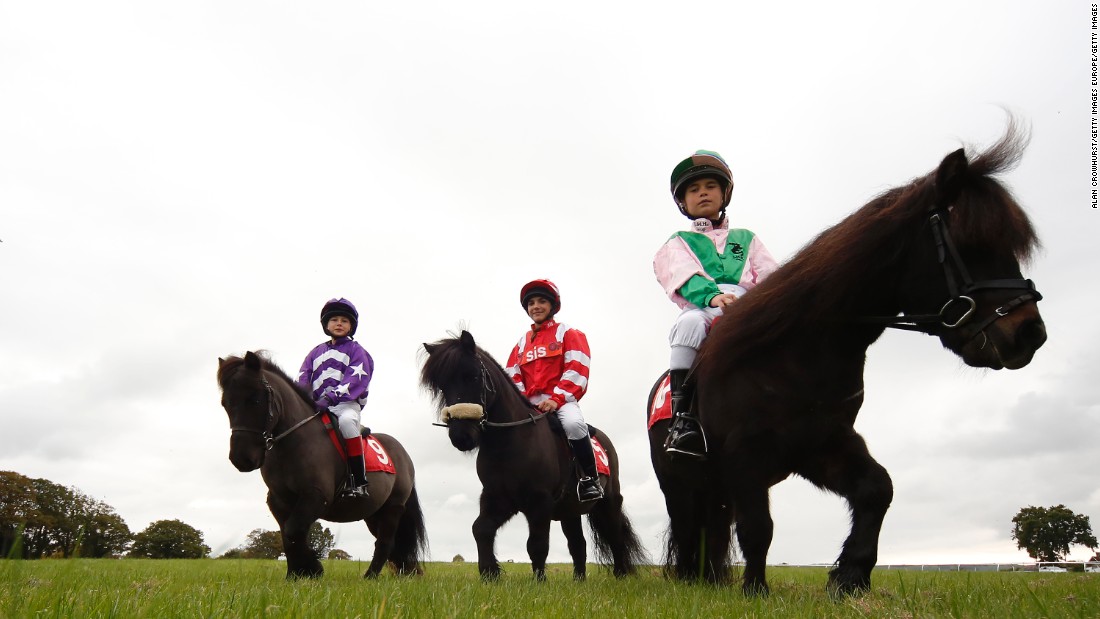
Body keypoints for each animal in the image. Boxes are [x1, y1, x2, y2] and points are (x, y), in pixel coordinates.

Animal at [216, 354, 426, 580]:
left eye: (254, 400)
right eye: (225, 404)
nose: (241, 458)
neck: (292, 443)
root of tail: (403, 453)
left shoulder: (316, 496)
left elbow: (293, 530)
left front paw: (313, 568)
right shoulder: (279, 501)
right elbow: (288, 536)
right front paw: (295, 574)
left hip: (393, 508)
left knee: (385, 543)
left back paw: (370, 577)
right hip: (373, 513)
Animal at [418, 332, 642, 584]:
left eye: (473, 376)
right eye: (441, 386)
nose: (461, 436)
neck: (510, 443)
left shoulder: (539, 502)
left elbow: (537, 544)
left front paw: (538, 582)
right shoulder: (498, 498)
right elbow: (481, 529)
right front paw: (490, 574)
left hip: (608, 502)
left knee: (615, 536)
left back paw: (621, 575)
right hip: (570, 512)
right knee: (578, 544)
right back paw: (579, 581)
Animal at [651, 122, 1047, 593]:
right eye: (973, 243)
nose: (1030, 333)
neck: (793, 359)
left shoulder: (822, 444)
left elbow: (878, 489)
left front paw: (850, 576)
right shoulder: (745, 456)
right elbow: (758, 529)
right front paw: (756, 592)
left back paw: (710, 581)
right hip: (681, 482)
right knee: (691, 525)